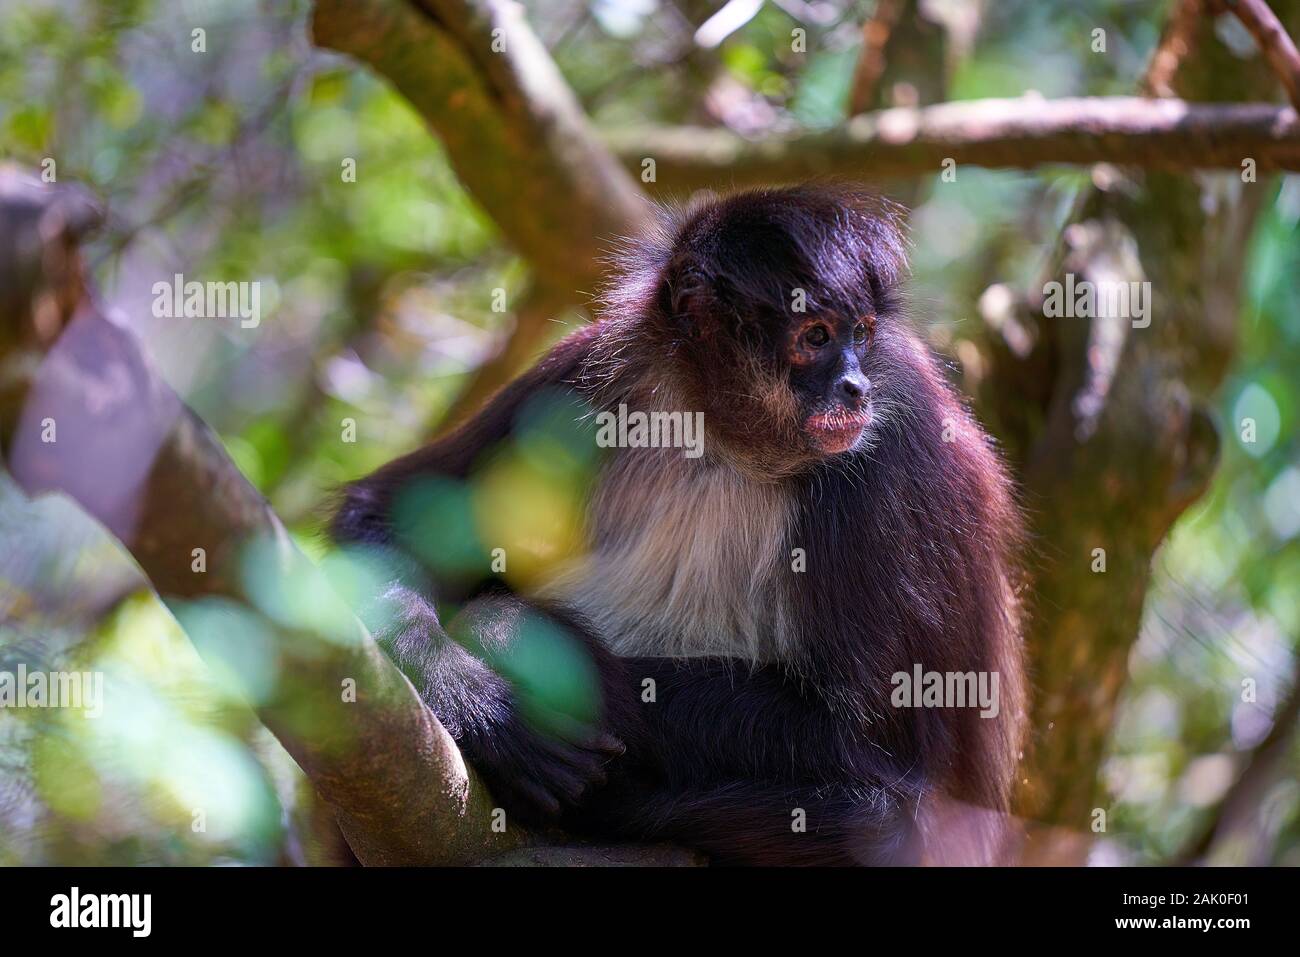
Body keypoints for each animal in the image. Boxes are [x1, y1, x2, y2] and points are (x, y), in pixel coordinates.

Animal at [332, 184, 1024, 868]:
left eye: (862, 332)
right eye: (816, 336)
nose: (855, 386)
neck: (724, 440)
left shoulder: (894, 442)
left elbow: (875, 741)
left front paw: (503, 633)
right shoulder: (590, 373)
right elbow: (378, 516)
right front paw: (479, 704)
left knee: (880, 824)